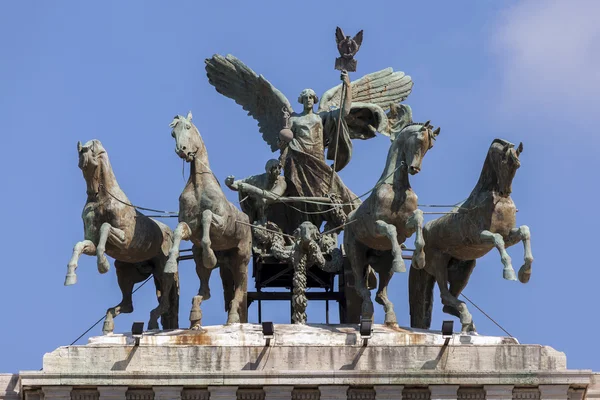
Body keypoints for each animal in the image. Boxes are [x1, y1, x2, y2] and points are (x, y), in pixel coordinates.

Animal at [164, 110, 251, 328]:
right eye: (172, 133)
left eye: (187, 127)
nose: (182, 150)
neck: (198, 185)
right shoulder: (190, 228)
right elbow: (179, 230)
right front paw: (170, 264)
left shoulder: (222, 223)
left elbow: (206, 215)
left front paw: (210, 255)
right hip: (207, 261)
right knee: (206, 291)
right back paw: (195, 313)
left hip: (241, 259)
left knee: (240, 289)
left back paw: (233, 317)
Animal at [342, 122, 440, 324]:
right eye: (419, 139)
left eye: (430, 146)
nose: (414, 168)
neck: (396, 188)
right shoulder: (377, 226)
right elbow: (390, 230)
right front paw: (401, 261)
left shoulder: (406, 227)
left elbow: (418, 218)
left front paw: (420, 258)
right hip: (356, 256)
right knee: (361, 288)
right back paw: (367, 311)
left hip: (383, 264)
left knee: (380, 294)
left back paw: (389, 314)